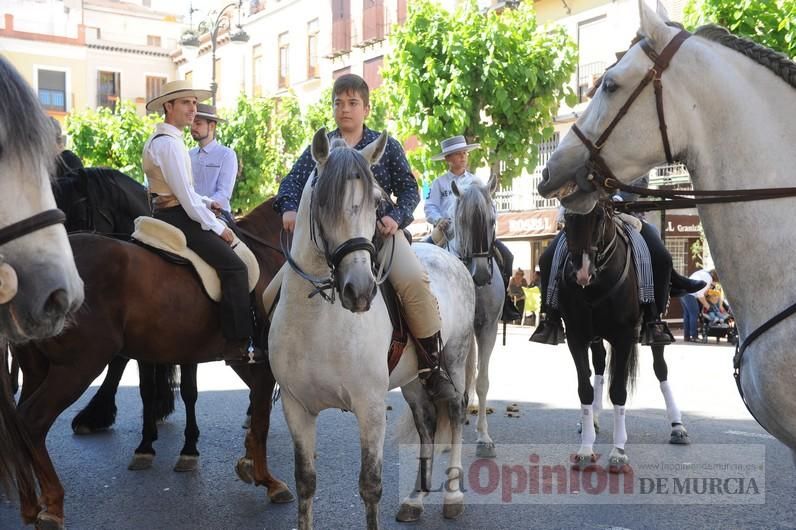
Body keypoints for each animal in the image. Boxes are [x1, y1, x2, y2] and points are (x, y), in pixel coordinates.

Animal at [6, 199, 292, 528]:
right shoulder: (263, 362)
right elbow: (261, 421)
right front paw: (268, 481)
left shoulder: (245, 362)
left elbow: (256, 412)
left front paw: (248, 465)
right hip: (77, 367)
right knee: (33, 421)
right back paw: (52, 505)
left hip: (36, 368)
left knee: (18, 424)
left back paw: (30, 505)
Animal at [270, 129, 476, 528]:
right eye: (322, 201)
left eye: (377, 203)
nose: (360, 290)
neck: (317, 319)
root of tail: (450, 256)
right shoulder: (296, 407)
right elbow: (305, 482)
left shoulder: (370, 406)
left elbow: (370, 485)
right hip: (413, 379)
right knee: (427, 423)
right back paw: (415, 499)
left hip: (455, 361)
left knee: (456, 414)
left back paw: (454, 495)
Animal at [536, 2, 796, 460]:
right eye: (565, 224)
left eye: (610, 84)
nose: (550, 172)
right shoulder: (580, 335)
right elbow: (589, 386)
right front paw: (589, 440)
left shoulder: (624, 333)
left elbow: (621, 389)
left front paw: (617, 451)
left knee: (658, 368)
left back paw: (674, 424)